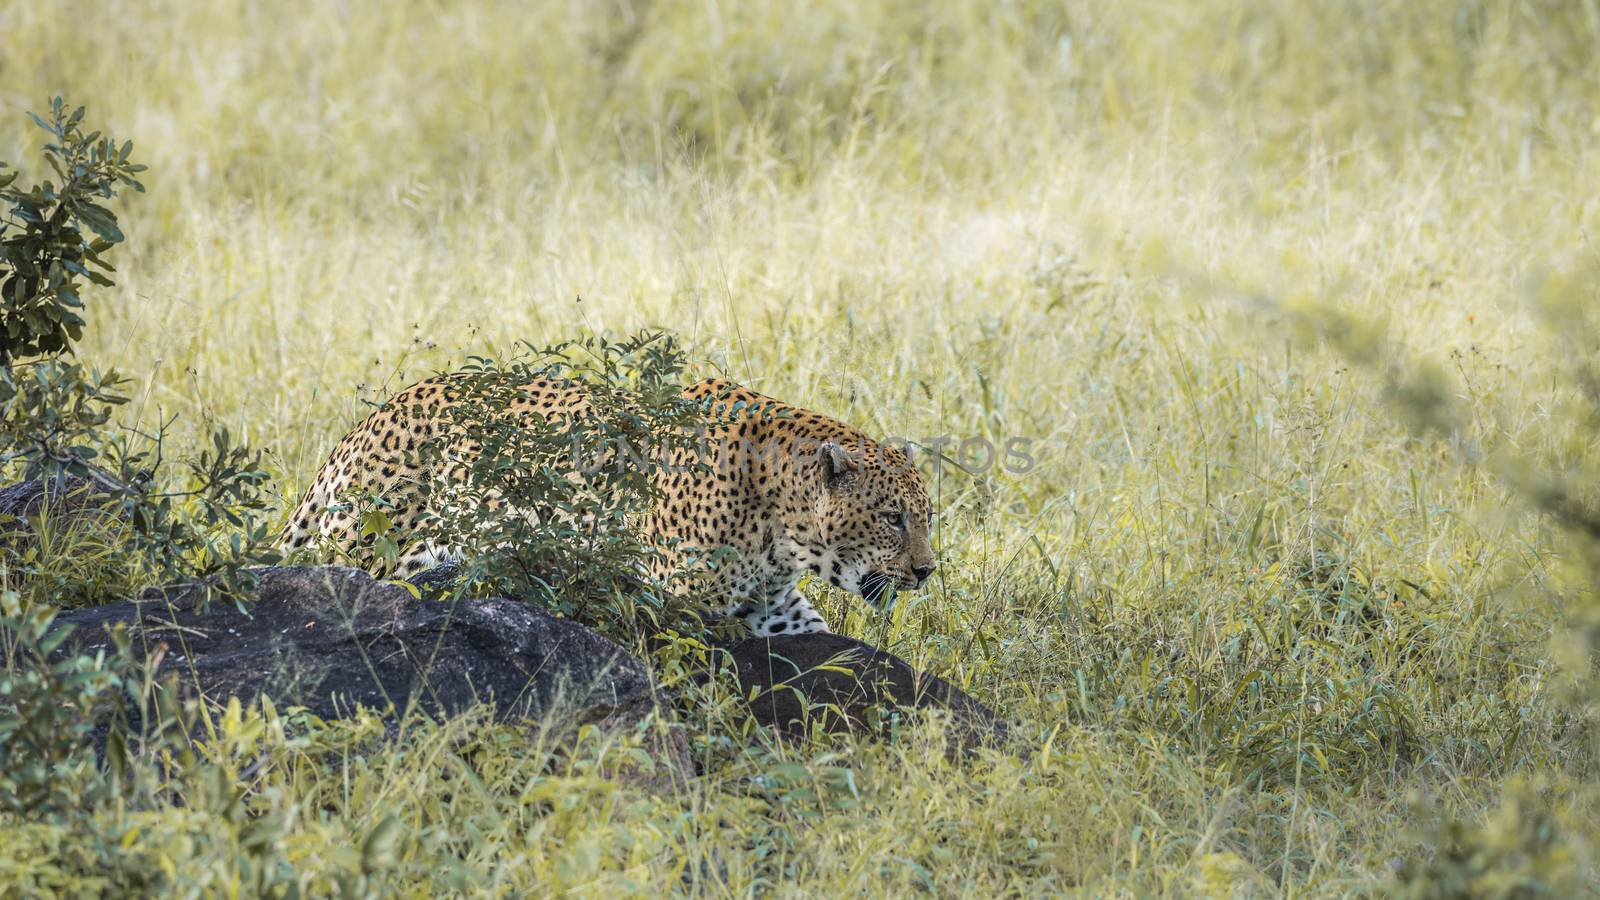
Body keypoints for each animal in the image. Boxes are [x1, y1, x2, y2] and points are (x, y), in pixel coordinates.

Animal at [278, 374, 934, 634]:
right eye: (892, 518)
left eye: (925, 519)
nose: (928, 571)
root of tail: (377, 412)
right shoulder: (684, 602)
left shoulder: (771, 605)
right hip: (374, 539)